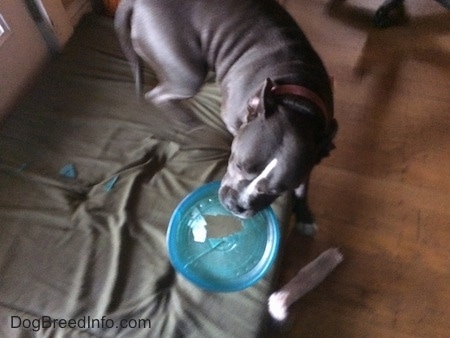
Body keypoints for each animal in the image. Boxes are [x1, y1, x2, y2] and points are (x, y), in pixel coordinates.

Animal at [116, 0, 338, 234]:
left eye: (275, 190)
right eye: (238, 164)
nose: (235, 205)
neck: (295, 95)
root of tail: (137, 2)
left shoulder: (311, 155)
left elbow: (303, 186)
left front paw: (304, 215)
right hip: (187, 73)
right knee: (156, 95)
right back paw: (189, 121)